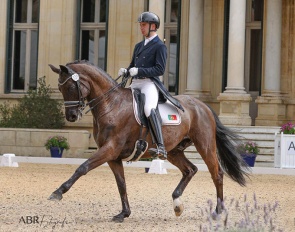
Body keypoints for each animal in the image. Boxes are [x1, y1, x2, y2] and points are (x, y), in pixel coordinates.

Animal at [49, 60, 250, 223]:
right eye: (59, 89)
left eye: (71, 87)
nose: (71, 116)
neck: (111, 104)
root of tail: (203, 106)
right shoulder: (113, 156)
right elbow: (121, 183)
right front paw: (124, 213)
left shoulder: (110, 149)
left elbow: (82, 168)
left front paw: (58, 192)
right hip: (174, 150)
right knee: (190, 170)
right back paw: (177, 203)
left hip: (205, 145)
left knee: (217, 173)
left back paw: (218, 211)